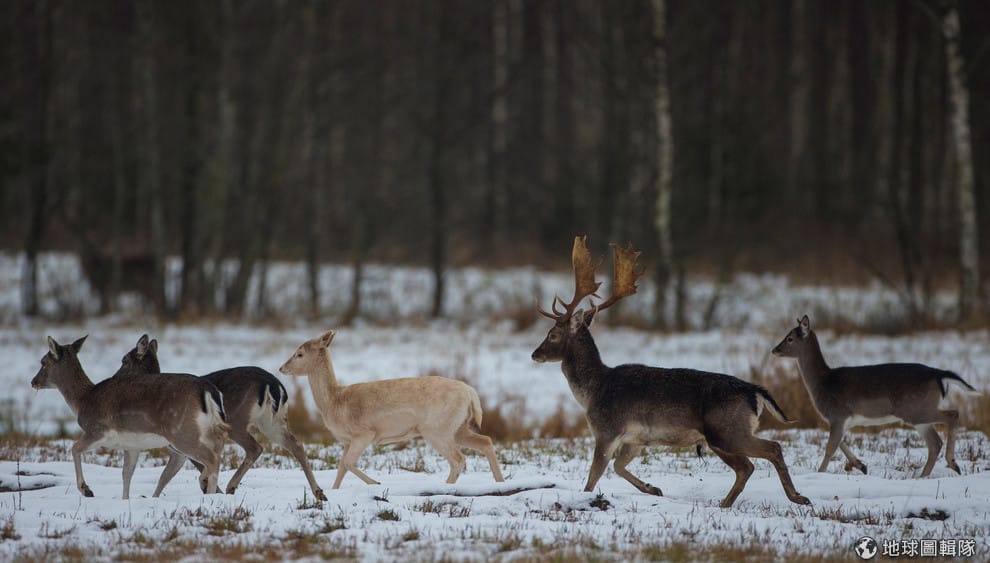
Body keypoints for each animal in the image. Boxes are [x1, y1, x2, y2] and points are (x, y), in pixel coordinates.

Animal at [30, 336, 228, 499]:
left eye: (43, 362)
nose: (33, 381)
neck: (83, 401)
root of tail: (208, 389)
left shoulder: (97, 429)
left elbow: (74, 448)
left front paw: (87, 490)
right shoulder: (132, 445)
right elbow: (126, 473)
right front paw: (125, 500)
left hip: (181, 432)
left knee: (212, 458)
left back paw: (210, 494)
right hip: (208, 430)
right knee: (217, 453)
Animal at [113, 334, 327, 501]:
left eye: (124, 360)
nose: (114, 379)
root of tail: (274, 384)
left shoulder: (182, 444)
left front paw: (211, 488)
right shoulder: (178, 450)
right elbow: (165, 477)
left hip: (238, 420)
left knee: (255, 447)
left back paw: (230, 486)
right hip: (272, 421)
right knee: (295, 444)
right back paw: (319, 493)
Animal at [278, 330, 505, 489]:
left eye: (299, 354)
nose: (282, 368)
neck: (334, 402)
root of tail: (471, 393)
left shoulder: (364, 433)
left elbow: (349, 463)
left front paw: (376, 484)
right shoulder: (346, 440)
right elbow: (341, 467)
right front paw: (333, 491)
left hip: (436, 429)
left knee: (458, 459)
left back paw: (446, 487)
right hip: (457, 428)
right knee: (485, 441)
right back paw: (500, 482)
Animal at [531, 236, 810, 508]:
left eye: (552, 334)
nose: (535, 354)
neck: (592, 392)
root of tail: (755, 392)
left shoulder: (606, 430)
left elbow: (594, 475)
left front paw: (585, 497)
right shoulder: (635, 440)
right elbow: (619, 467)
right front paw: (653, 488)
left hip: (727, 431)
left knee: (769, 450)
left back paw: (797, 497)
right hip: (722, 436)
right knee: (746, 466)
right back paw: (727, 503)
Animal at [771, 315, 977, 477]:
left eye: (789, 338)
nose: (774, 350)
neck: (824, 382)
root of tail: (938, 374)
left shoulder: (838, 414)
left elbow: (830, 448)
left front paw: (820, 473)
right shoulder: (843, 420)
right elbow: (840, 443)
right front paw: (861, 465)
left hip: (915, 409)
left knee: (953, 415)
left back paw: (952, 463)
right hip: (919, 415)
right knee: (935, 442)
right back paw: (924, 475)